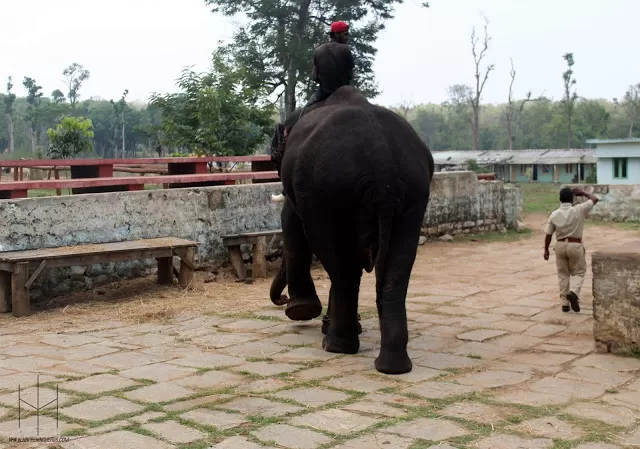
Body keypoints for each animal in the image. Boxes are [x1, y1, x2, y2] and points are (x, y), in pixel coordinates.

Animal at [268, 85, 434, 374]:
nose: (281, 298)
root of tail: (384, 170)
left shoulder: (301, 192)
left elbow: (291, 222)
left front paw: (301, 310)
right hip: (414, 193)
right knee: (396, 266)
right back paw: (392, 366)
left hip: (329, 190)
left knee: (340, 264)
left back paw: (336, 345)